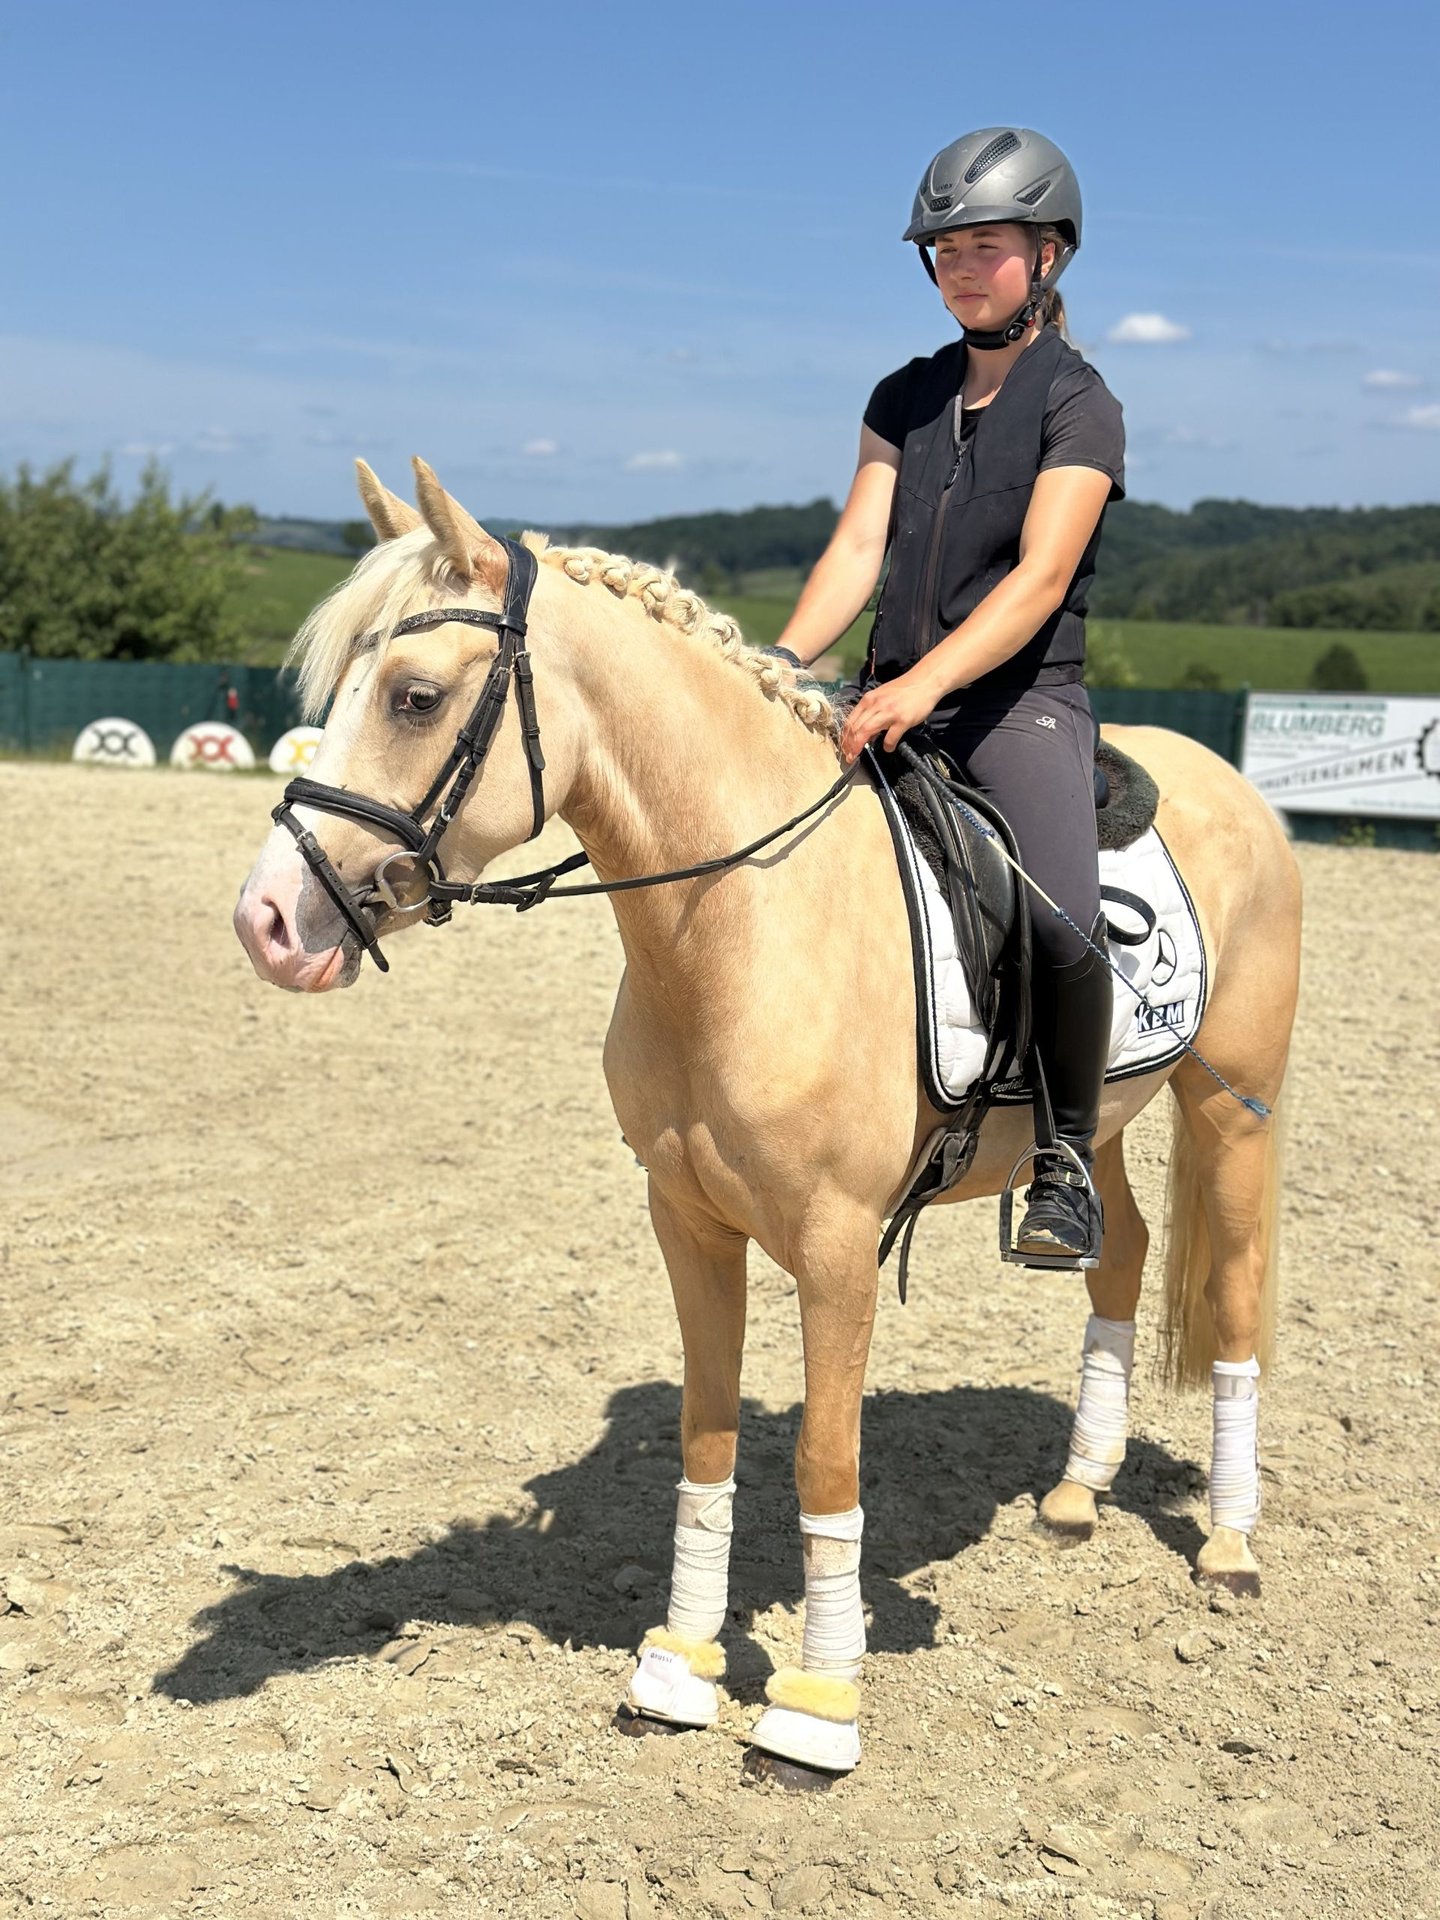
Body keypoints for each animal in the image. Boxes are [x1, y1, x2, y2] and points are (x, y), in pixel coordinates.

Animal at [234, 457, 1301, 1785]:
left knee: (1235, 1293)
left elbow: (824, 1462)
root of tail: (1230, 782)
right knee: (1124, 1253)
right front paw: (678, 1671)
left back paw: (1230, 1549)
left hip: (1234, 1107)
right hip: (1095, 1122)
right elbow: (707, 1442)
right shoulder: (687, 1221)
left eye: (416, 696)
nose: (268, 921)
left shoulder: (836, 1246)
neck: (738, 923)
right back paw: (1073, 1495)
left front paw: (816, 1708)